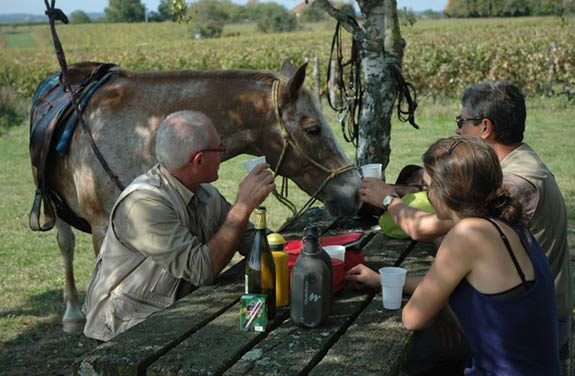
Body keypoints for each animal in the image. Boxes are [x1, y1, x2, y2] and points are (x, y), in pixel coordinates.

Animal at [30, 60, 360, 334]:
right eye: (313, 129)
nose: (355, 191)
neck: (142, 134)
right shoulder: (102, 227)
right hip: (57, 210)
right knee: (66, 245)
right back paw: (73, 316)